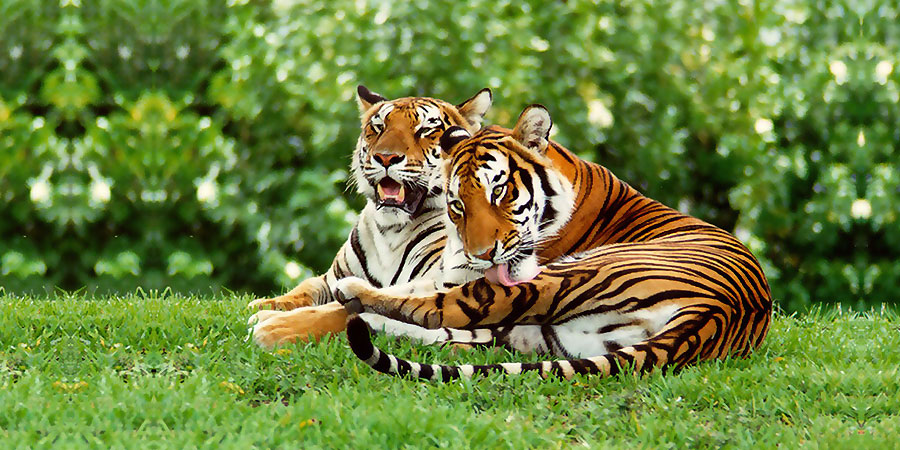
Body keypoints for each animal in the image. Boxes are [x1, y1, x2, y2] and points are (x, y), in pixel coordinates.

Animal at [248, 85, 492, 348]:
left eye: (425, 130)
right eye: (378, 127)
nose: (385, 157)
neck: (390, 230)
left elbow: (342, 309)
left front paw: (273, 328)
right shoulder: (333, 278)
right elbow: (306, 288)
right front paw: (263, 305)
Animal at [334, 104, 774, 380]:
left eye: (499, 191)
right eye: (457, 204)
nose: (481, 254)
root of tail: (714, 315)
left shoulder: (464, 276)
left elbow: (422, 297)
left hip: (567, 274)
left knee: (442, 313)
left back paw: (354, 297)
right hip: (547, 334)